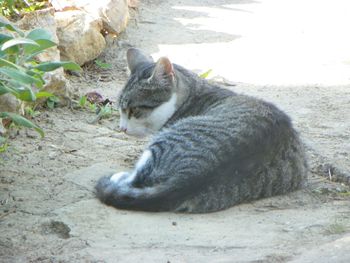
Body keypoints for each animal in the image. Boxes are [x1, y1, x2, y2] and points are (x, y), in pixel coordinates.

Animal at [94, 48, 308, 213]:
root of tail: (189, 177)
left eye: (134, 110)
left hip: (160, 145)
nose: (121, 128)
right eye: (120, 109)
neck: (194, 93)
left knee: (137, 177)